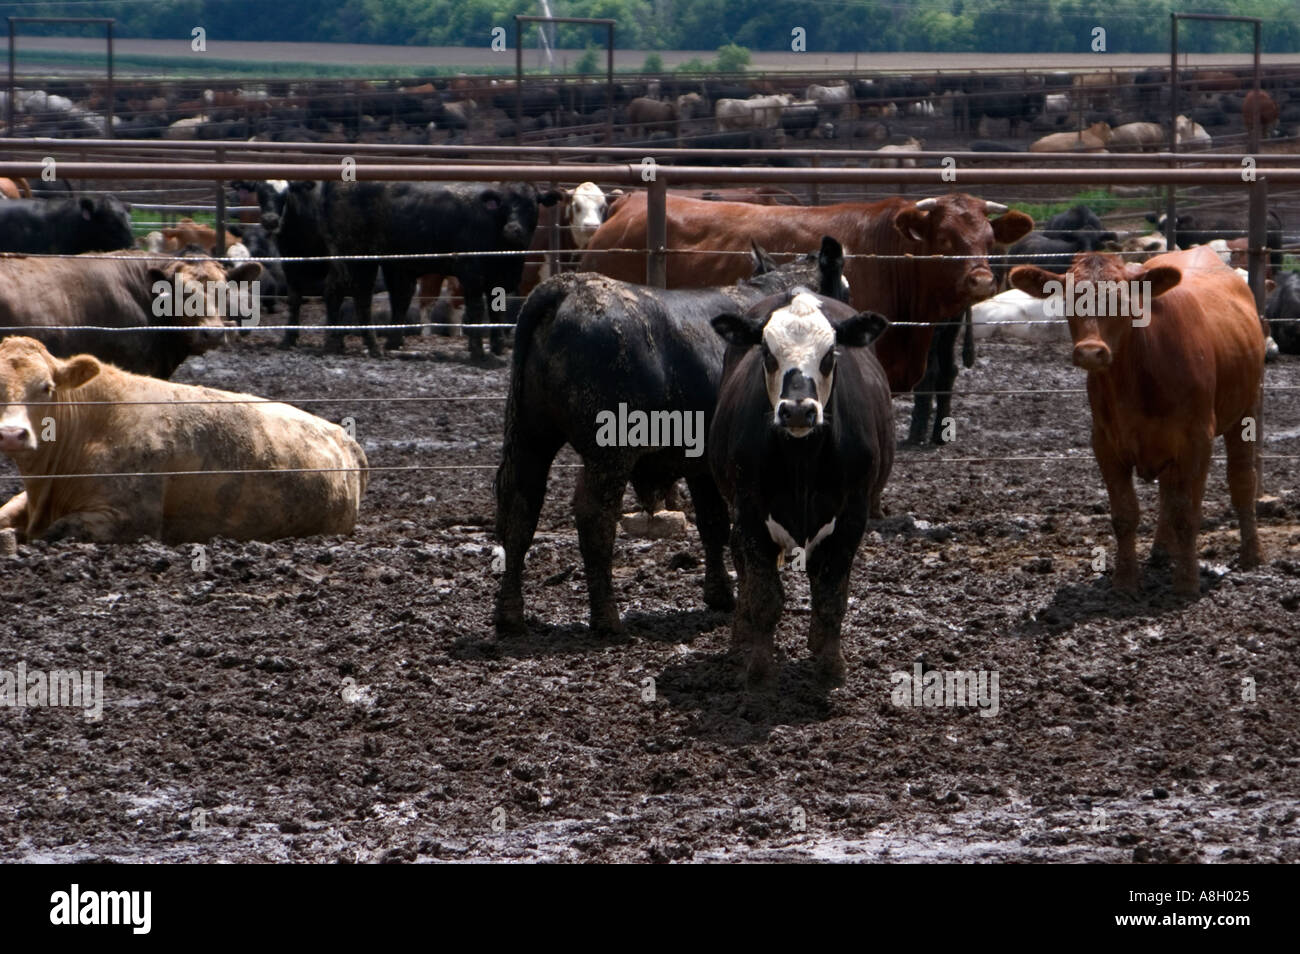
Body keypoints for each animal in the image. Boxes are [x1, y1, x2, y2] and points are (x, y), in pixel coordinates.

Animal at [494, 239, 849, 640]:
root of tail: (567, 286)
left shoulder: (702, 467)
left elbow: (713, 524)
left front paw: (720, 595)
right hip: (607, 455)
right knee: (595, 519)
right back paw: (607, 619)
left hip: (530, 439)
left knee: (518, 509)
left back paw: (510, 615)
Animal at [708, 290, 894, 685]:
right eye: (767, 352)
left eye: (830, 354)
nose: (796, 410)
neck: (802, 461)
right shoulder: (749, 512)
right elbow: (764, 594)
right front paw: (759, 667)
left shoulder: (852, 516)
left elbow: (831, 593)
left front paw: (831, 664)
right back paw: (742, 635)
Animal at [1009, 246, 1265, 596]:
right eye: (1069, 298)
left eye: (1122, 300)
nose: (1090, 352)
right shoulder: (1105, 442)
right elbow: (1125, 514)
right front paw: (1125, 581)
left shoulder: (1197, 440)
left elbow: (1188, 512)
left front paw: (1186, 583)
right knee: (1168, 492)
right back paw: (1161, 551)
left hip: (1246, 411)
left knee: (1241, 481)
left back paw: (1251, 554)